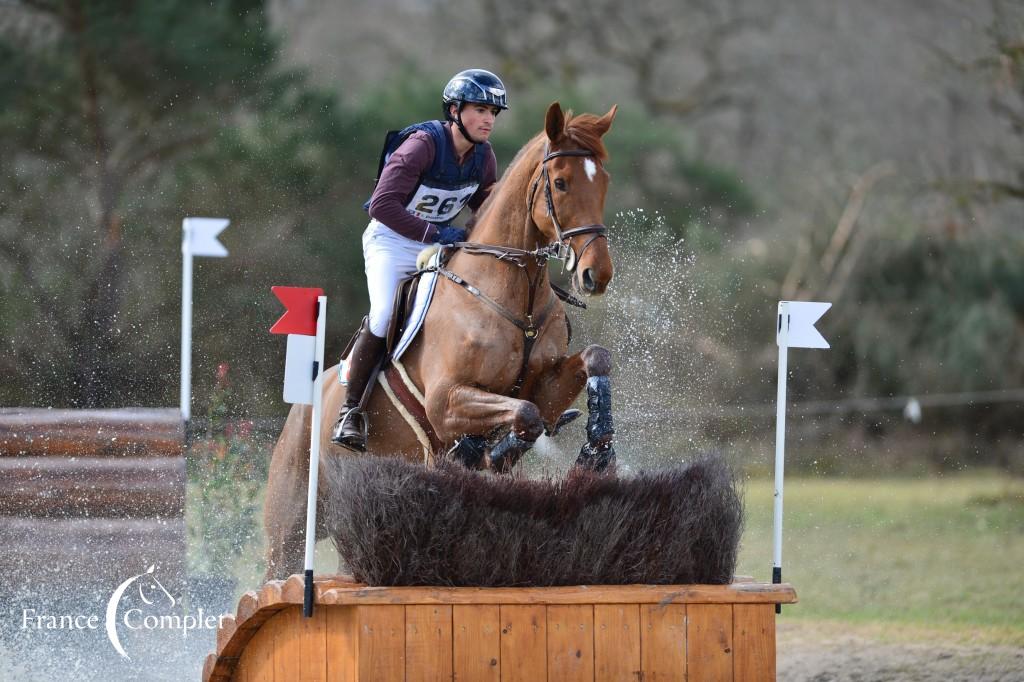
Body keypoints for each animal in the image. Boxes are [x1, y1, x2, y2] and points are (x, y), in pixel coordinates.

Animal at [262, 102, 614, 577]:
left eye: (604, 183)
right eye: (560, 183)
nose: (597, 275)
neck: (512, 294)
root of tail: (305, 402)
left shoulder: (545, 386)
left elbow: (589, 363)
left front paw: (597, 447)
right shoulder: (446, 402)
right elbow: (522, 414)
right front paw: (486, 453)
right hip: (289, 526)